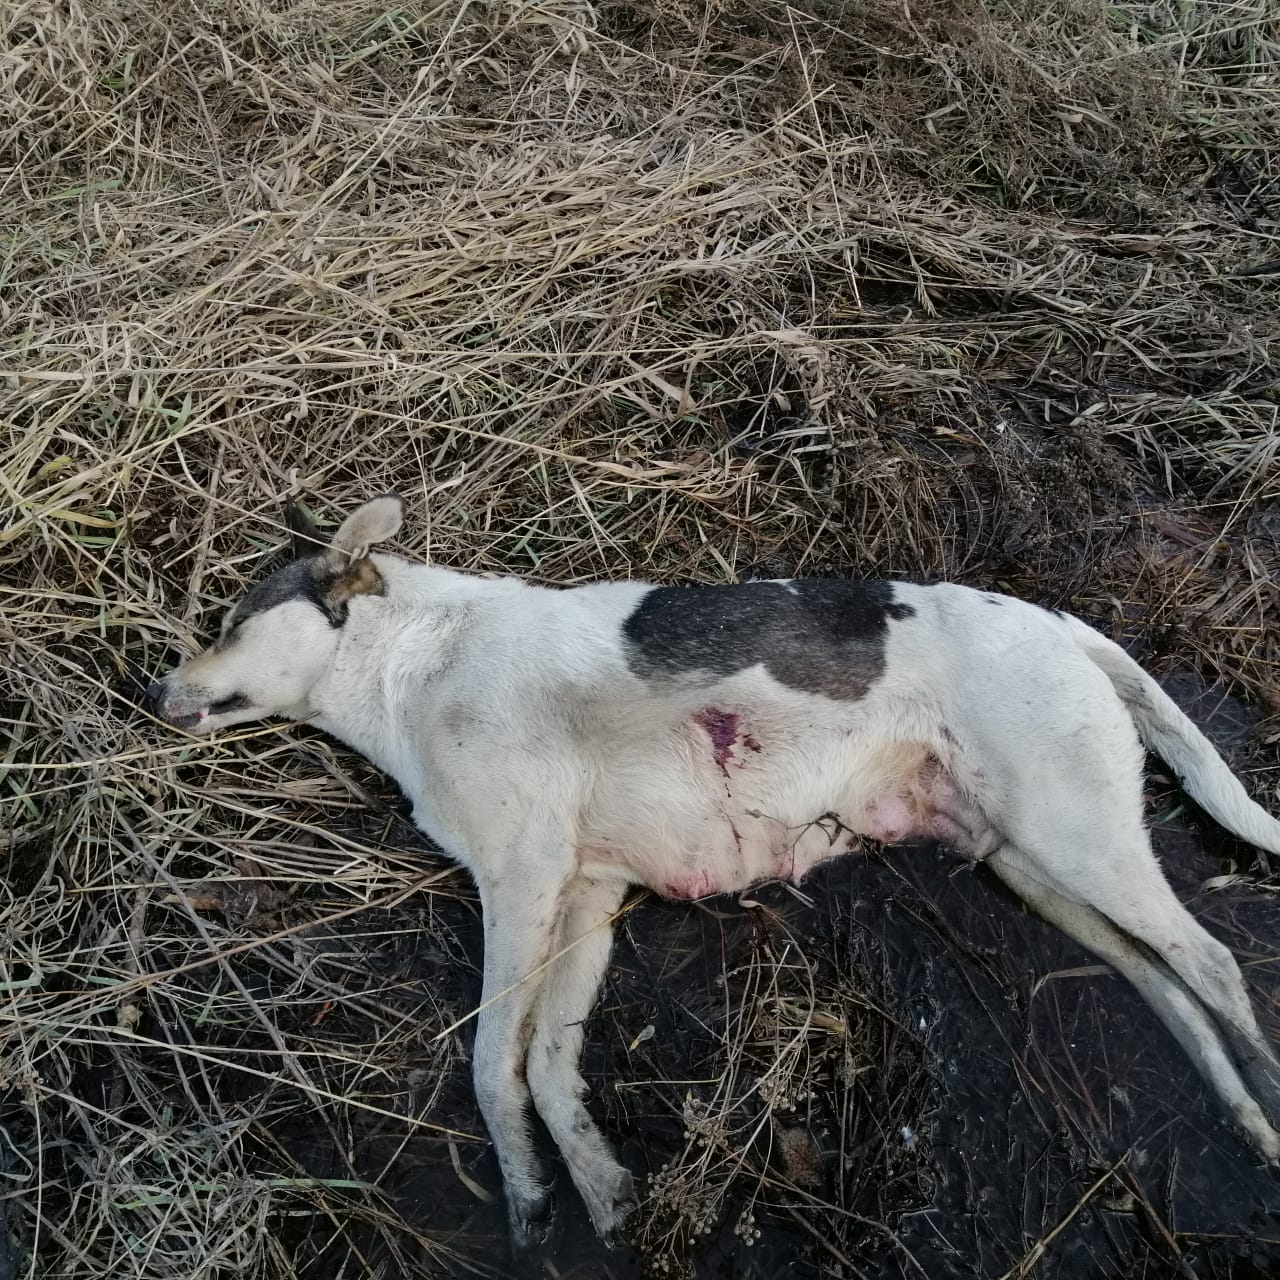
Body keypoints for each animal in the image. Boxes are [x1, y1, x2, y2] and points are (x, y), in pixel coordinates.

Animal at [152, 491, 1280, 1249]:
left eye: (230, 622)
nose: (157, 689)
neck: (412, 657)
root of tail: (1060, 626)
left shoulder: (522, 880)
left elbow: (490, 1064)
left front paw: (526, 1196)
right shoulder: (584, 894)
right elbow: (551, 1066)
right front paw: (602, 1191)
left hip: (1077, 835)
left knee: (1214, 966)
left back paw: (1268, 1102)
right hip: (1033, 864)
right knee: (1162, 981)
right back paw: (1245, 1116)